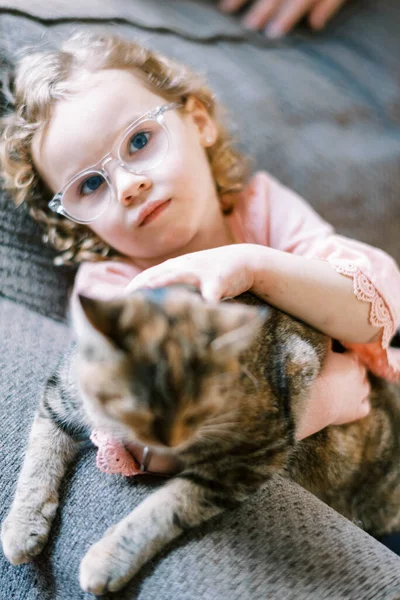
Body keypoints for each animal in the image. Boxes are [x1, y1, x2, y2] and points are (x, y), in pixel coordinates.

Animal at [1, 288, 398, 596]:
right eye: (135, 407)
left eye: (198, 410)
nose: (170, 440)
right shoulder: (58, 399)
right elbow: (38, 460)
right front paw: (22, 527)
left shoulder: (254, 456)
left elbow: (165, 507)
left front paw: (107, 559)